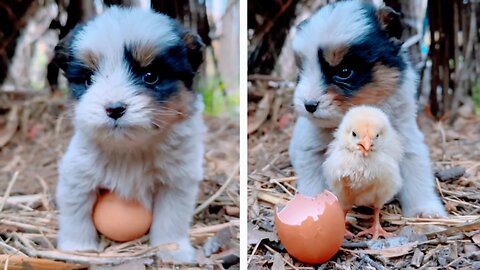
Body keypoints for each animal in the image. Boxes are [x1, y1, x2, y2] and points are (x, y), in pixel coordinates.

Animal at [54, 6, 206, 264]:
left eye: (150, 76)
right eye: (88, 79)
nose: (114, 109)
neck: (129, 148)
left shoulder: (177, 182)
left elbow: (171, 218)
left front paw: (172, 250)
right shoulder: (77, 176)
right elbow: (77, 212)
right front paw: (79, 249)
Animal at [286, 0, 444, 217]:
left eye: (344, 71)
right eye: (301, 71)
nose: (309, 105)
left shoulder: (408, 143)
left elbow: (417, 176)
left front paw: (425, 210)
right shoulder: (311, 151)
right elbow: (313, 183)